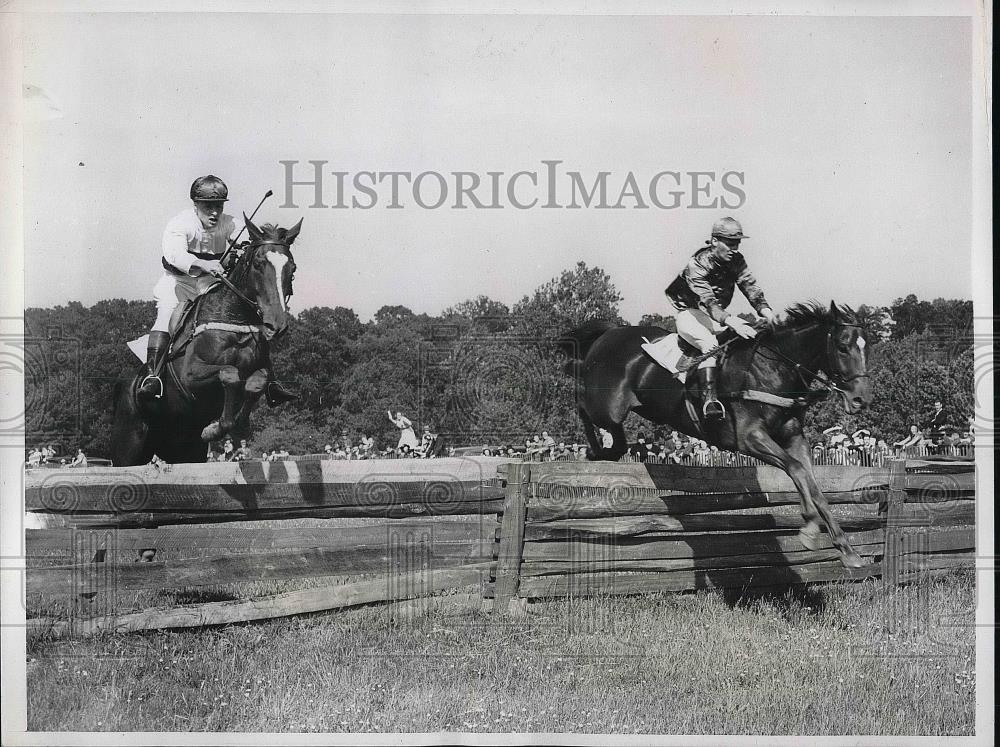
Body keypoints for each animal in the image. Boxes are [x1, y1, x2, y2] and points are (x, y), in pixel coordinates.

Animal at [111, 213, 300, 464]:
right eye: (258, 264)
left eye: (292, 267)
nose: (276, 325)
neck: (233, 316)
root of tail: (126, 385)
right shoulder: (191, 375)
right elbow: (229, 373)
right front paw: (214, 429)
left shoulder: (258, 371)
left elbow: (256, 382)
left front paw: (235, 426)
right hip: (129, 447)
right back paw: (150, 384)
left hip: (184, 450)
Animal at [560, 302, 872, 568]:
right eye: (842, 347)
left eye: (865, 347)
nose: (860, 399)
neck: (773, 369)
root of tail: (610, 332)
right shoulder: (749, 437)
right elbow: (795, 469)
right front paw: (808, 525)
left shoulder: (794, 439)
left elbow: (813, 484)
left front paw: (846, 549)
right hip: (606, 407)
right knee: (582, 404)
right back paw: (592, 450)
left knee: (616, 439)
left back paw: (601, 451)